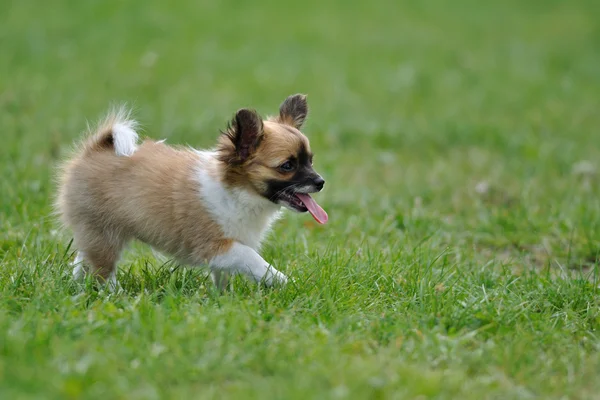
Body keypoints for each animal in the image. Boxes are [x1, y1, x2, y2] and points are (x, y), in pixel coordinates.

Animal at [56, 96, 328, 290]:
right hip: (105, 233)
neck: (239, 193)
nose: (321, 182)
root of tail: (93, 150)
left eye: (310, 161)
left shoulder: (225, 252)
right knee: (103, 269)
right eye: (287, 166)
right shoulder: (216, 246)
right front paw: (282, 280)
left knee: (84, 260)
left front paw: (224, 298)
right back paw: (113, 294)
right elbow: (252, 258)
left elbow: (224, 276)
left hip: (95, 233)